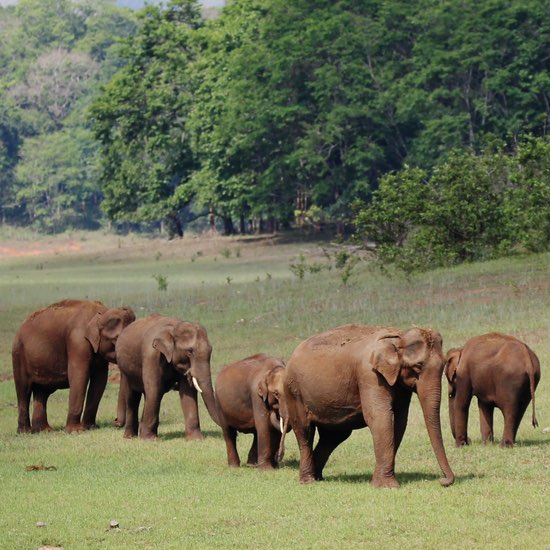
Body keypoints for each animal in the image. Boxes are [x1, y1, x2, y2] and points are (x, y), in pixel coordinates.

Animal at [11, 302, 136, 436]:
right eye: (116, 338)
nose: (115, 421)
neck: (101, 312)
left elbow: (100, 380)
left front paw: (90, 427)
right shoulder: (77, 341)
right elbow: (79, 377)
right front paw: (76, 431)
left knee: (42, 392)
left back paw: (43, 430)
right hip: (18, 354)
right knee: (24, 390)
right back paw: (25, 432)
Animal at [284, 326, 458, 490]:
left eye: (444, 364)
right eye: (417, 366)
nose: (443, 481)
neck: (397, 338)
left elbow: (399, 422)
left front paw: (378, 483)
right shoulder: (369, 375)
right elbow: (381, 418)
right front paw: (388, 486)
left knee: (333, 436)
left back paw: (318, 476)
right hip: (294, 393)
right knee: (305, 432)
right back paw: (308, 481)